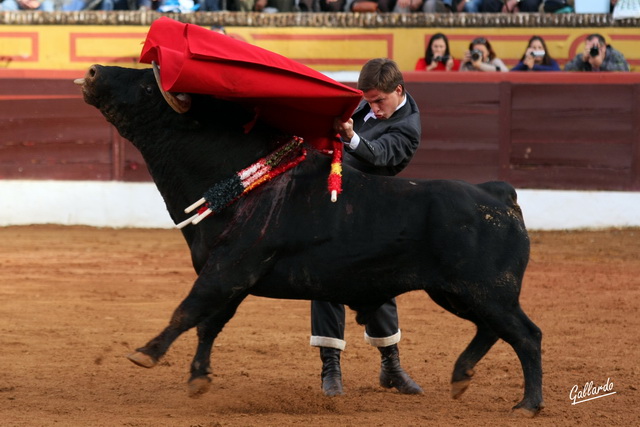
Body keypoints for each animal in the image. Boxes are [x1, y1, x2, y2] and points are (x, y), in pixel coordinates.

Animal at [77, 65, 544, 416]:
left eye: (146, 86)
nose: (94, 70)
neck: (238, 178)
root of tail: (498, 193)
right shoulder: (230, 276)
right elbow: (210, 323)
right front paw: (198, 378)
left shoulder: (229, 269)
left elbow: (188, 310)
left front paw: (147, 352)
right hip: (456, 292)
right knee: (491, 329)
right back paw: (461, 377)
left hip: (485, 290)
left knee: (526, 334)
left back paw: (527, 404)